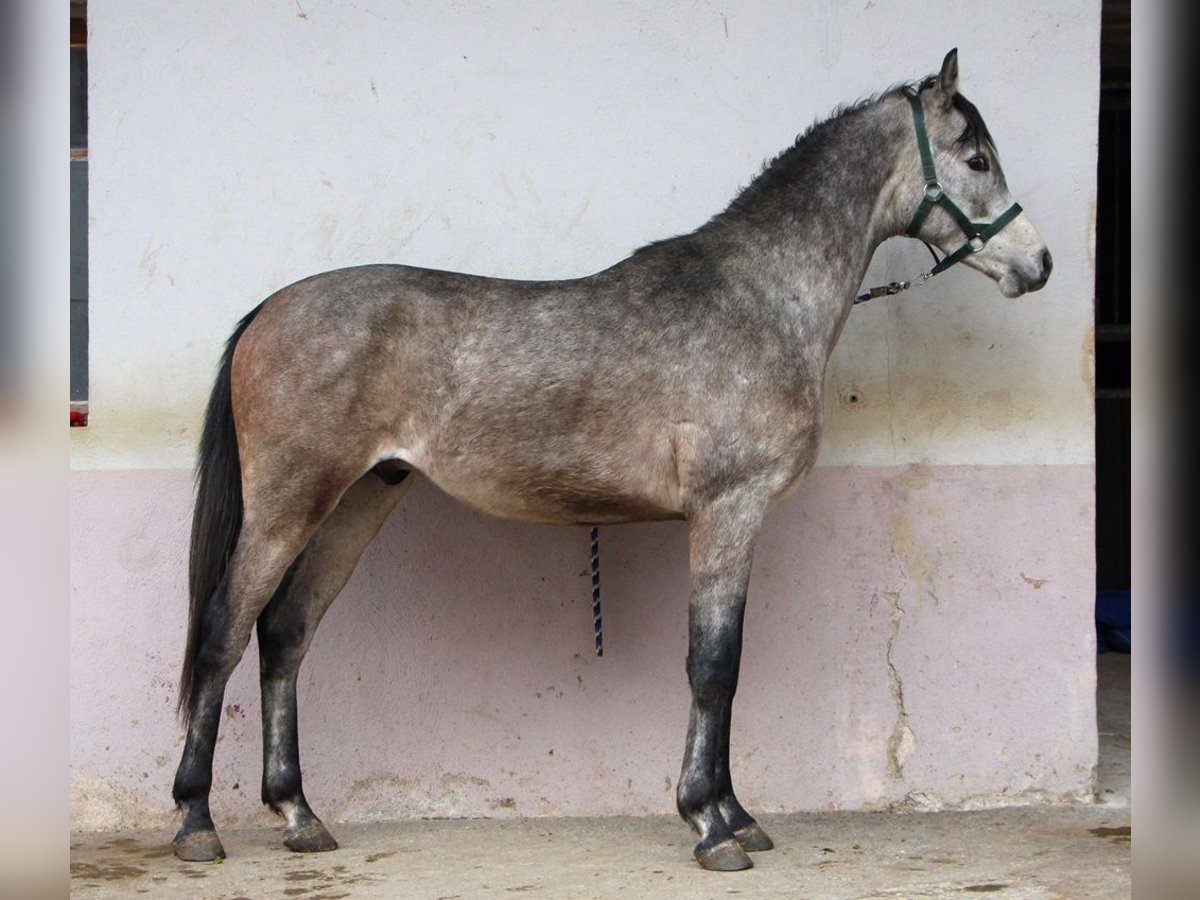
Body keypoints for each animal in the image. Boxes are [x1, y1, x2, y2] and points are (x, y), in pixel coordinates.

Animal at [169, 51, 1051, 873]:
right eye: (976, 158)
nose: (1036, 265)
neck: (760, 299)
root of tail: (271, 307)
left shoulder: (736, 520)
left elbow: (726, 666)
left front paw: (738, 815)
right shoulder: (727, 511)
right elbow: (713, 666)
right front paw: (709, 824)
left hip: (359, 499)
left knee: (285, 632)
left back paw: (299, 814)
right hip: (289, 502)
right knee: (224, 631)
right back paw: (196, 822)